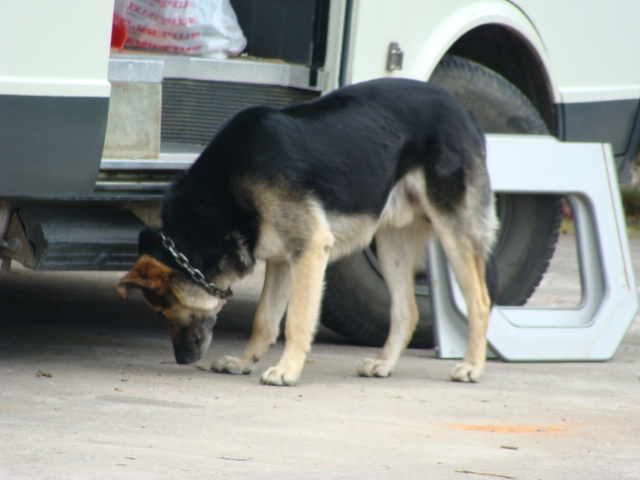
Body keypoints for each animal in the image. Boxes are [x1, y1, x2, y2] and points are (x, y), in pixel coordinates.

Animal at [119, 79, 500, 386]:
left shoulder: (311, 250)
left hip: (452, 230)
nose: (182, 360)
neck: (223, 192)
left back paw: (471, 367)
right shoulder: (281, 261)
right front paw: (244, 362)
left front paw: (287, 370)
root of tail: (464, 112)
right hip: (393, 243)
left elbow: (297, 321)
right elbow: (264, 320)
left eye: (164, 310)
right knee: (407, 311)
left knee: (480, 301)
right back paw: (384, 363)